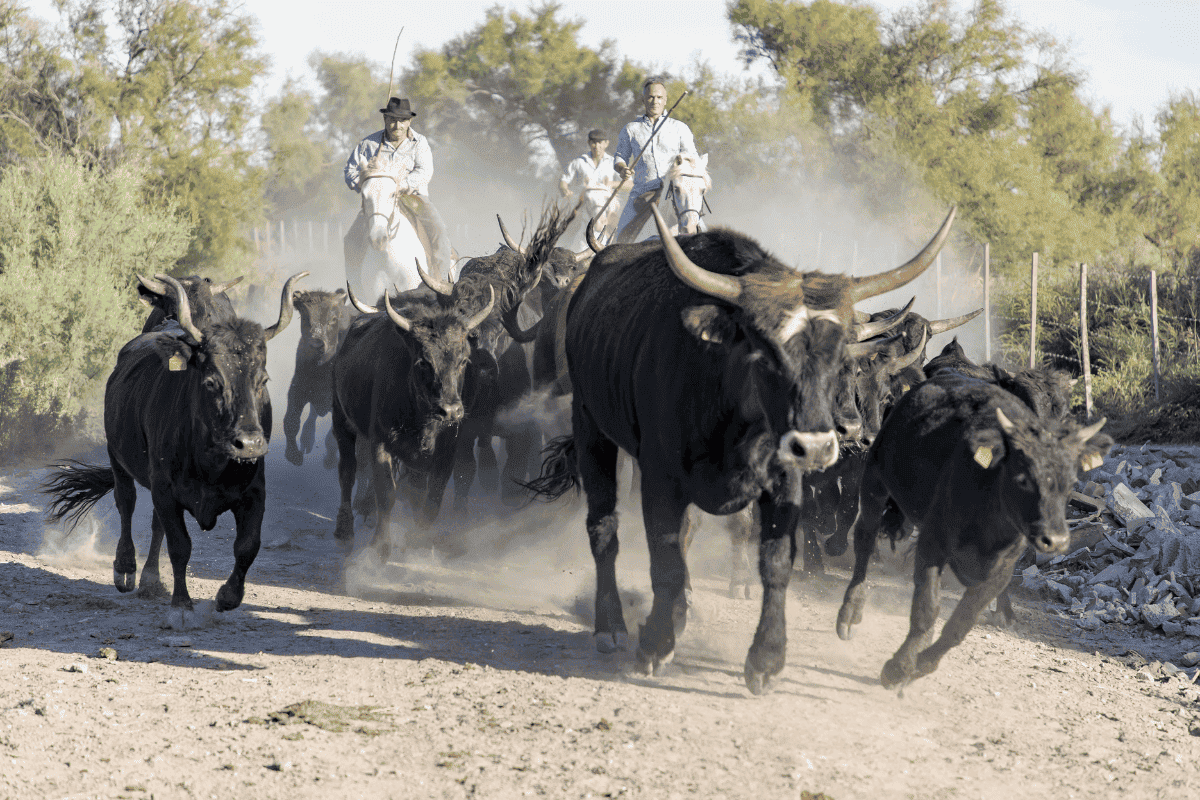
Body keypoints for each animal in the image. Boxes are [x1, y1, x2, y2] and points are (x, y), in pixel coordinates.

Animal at [42, 272, 306, 629]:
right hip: (118, 458)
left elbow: (247, 546)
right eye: (211, 381)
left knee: (155, 524)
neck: (211, 459)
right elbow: (180, 546)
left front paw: (227, 596)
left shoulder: (253, 492)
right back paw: (126, 568)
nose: (249, 444)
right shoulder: (165, 489)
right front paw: (181, 606)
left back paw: (152, 579)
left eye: (262, 380)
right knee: (126, 504)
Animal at [282, 289, 352, 469]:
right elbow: (291, 421)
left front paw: (330, 459)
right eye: (305, 317)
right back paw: (307, 439)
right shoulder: (297, 389)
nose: (316, 344)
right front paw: (293, 455)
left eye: (333, 319)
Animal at [330, 284, 495, 562]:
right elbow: (386, 492)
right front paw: (380, 547)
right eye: (423, 361)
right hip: (341, 421)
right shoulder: (380, 443)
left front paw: (419, 542)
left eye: (463, 360)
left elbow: (432, 497)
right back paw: (344, 531)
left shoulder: (446, 450)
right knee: (348, 471)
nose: (451, 411)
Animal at [528, 204, 956, 694]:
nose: (833, 438)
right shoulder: (659, 477)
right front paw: (656, 645)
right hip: (590, 425)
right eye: (767, 351)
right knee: (603, 526)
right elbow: (665, 557)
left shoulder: (784, 482)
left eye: (841, 358)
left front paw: (766, 658)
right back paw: (611, 626)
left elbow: (773, 559)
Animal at [834, 370, 1110, 692]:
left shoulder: (1001, 570)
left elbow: (961, 623)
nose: (1055, 540)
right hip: (874, 477)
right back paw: (850, 610)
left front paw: (922, 664)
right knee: (864, 539)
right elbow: (927, 608)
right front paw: (898, 667)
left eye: (1071, 481)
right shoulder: (932, 543)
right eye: (1023, 478)